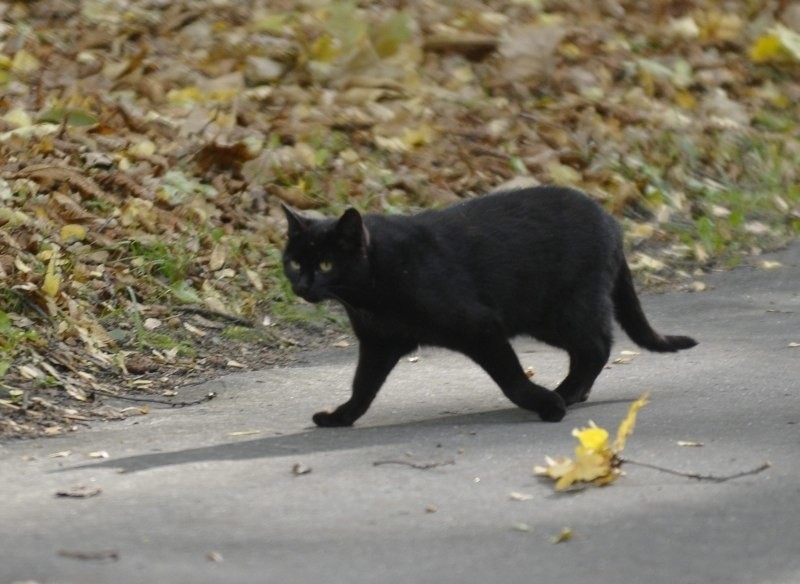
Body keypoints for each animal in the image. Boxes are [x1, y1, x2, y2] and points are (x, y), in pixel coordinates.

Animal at [282, 189, 692, 426]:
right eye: (294, 262)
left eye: (326, 265)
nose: (302, 285)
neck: (371, 292)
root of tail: (612, 222)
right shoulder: (378, 344)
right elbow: (362, 386)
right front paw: (341, 416)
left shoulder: (480, 326)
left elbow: (511, 378)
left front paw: (545, 404)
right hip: (545, 317)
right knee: (589, 348)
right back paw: (573, 392)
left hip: (561, 308)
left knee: (597, 345)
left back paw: (564, 394)